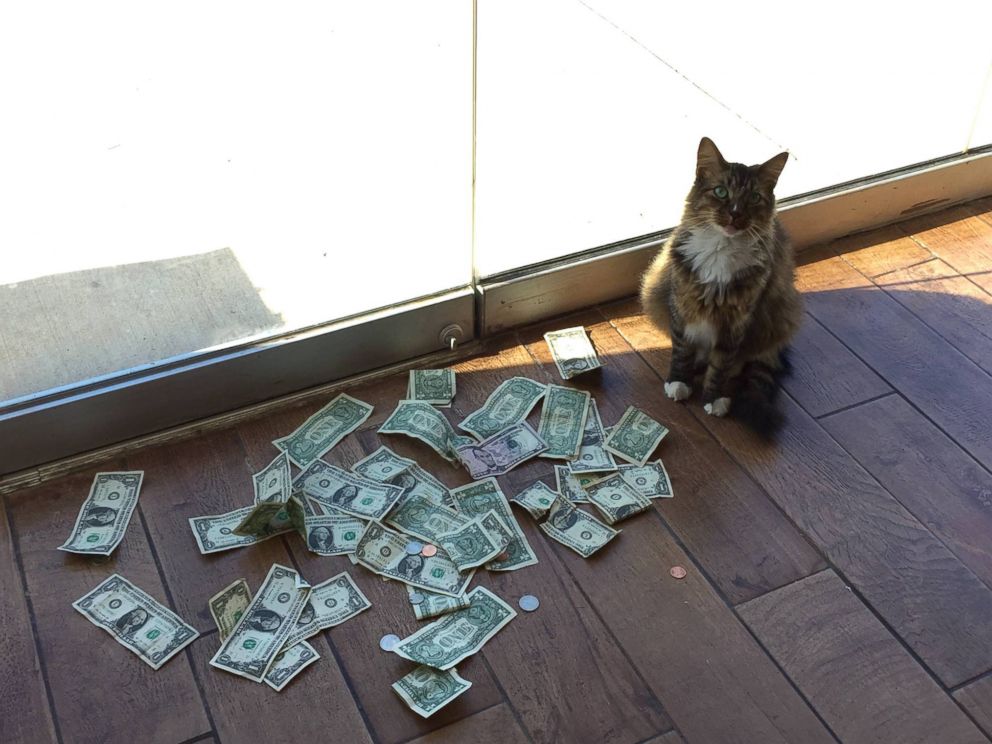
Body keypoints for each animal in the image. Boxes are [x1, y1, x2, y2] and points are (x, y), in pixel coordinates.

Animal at [640, 138, 804, 436]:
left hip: (780, 316)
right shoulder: (681, 305)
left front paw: (713, 398)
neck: (721, 249)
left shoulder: (737, 321)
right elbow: (681, 350)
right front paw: (678, 382)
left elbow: (721, 365)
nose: (735, 215)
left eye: (754, 198)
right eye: (721, 192)